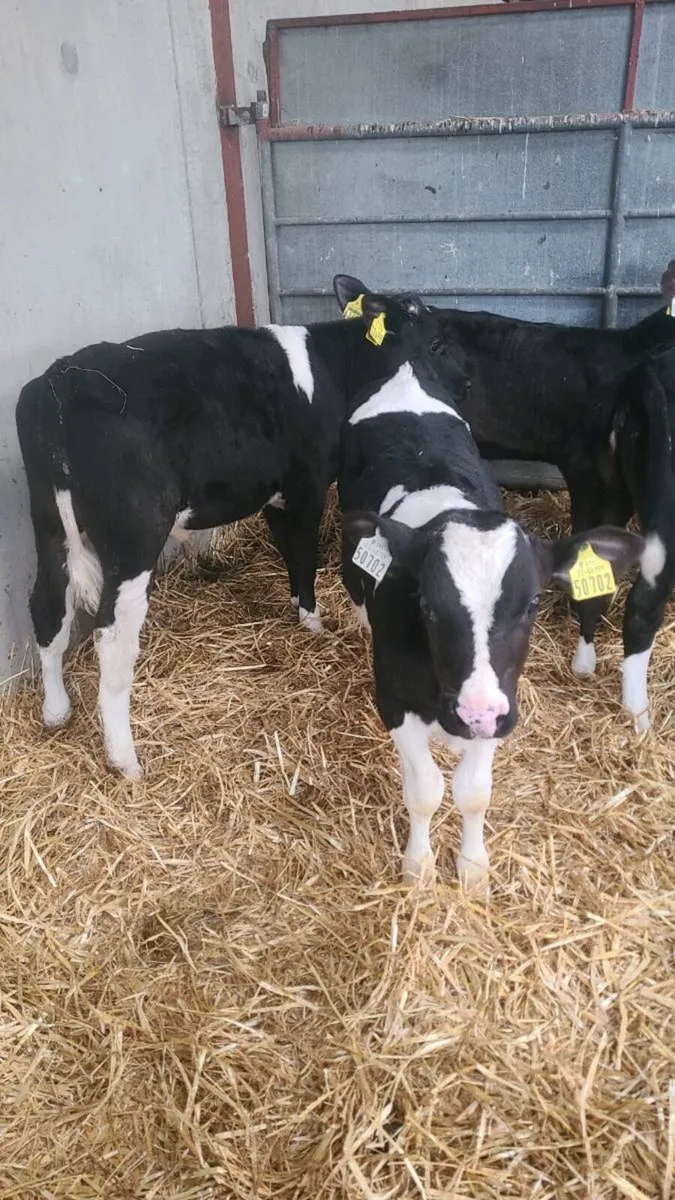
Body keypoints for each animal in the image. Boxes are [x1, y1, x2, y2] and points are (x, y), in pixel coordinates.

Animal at [16, 304, 426, 779]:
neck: (331, 365)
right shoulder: (307, 485)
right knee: (112, 635)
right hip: (134, 534)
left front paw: (297, 612)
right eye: (428, 334)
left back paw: (55, 711)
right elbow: (304, 553)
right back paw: (125, 760)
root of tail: (59, 381)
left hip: (49, 524)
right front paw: (312, 622)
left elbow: (289, 551)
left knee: (47, 608)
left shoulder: (273, 493)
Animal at [335, 276, 644, 888]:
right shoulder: (393, 699)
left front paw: (472, 867)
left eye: (531, 606)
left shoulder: (500, 702)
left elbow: (473, 791)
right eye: (427, 607)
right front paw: (419, 867)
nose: (475, 713)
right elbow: (425, 790)